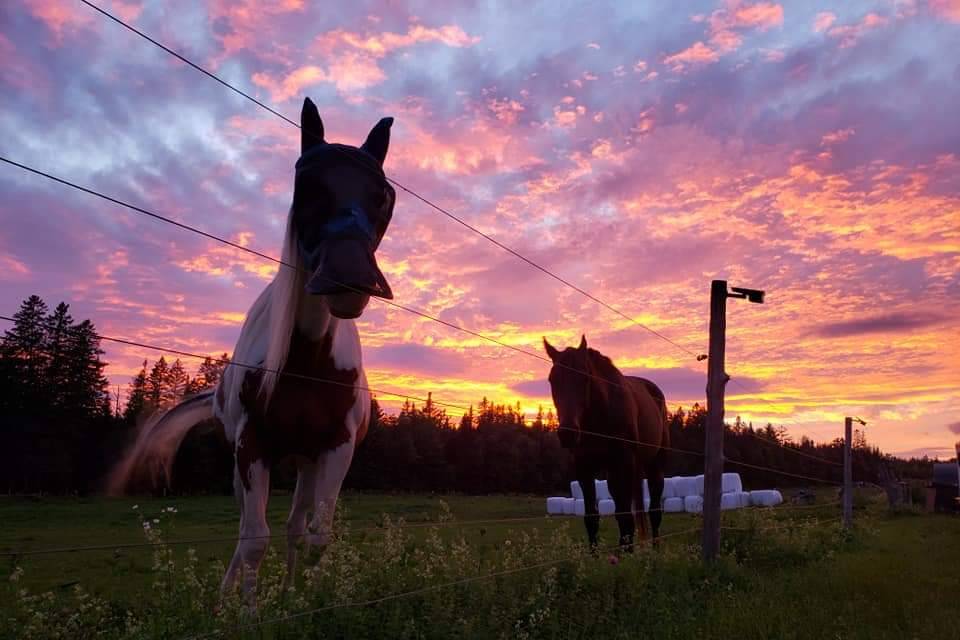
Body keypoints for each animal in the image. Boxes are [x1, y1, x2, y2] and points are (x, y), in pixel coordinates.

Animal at [110, 99, 396, 604]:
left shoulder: (335, 449)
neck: (307, 364)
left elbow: (316, 537)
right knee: (248, 525)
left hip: (304, 461)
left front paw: (307, 600)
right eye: (306, 185)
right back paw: (227, 595)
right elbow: (253, 539)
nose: (349, 279)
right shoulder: (251, 446)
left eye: (382, 194)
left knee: (295, 526)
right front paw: (246, 611)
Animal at [544, 336, 672, 552]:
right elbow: (592, 518)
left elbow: (626, 518)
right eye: (552, 380)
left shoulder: (624, 464)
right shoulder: (584, 468)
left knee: (654, 512)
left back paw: (655, 550)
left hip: (654, 466)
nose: (568, 433)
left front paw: (627, 557)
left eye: (585, 378)